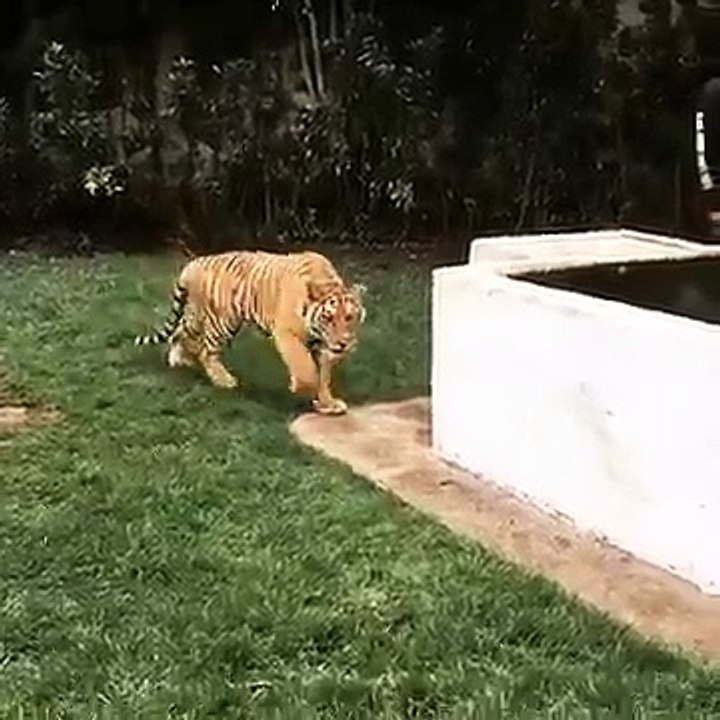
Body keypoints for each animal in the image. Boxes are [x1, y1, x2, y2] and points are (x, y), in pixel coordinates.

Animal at [133, 249, 366, 415]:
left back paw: (179, 360)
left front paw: (327, 403)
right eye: (329, 318)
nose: (343, 344)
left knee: (180, 331)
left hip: (196, 313)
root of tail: (194, 263)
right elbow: (305, 368)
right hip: (223, 321)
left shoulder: (322, 345)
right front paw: (302, 389)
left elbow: (324, 375)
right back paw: (224, 381)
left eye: (349, 318)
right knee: (205, 350)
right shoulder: (286, 332)